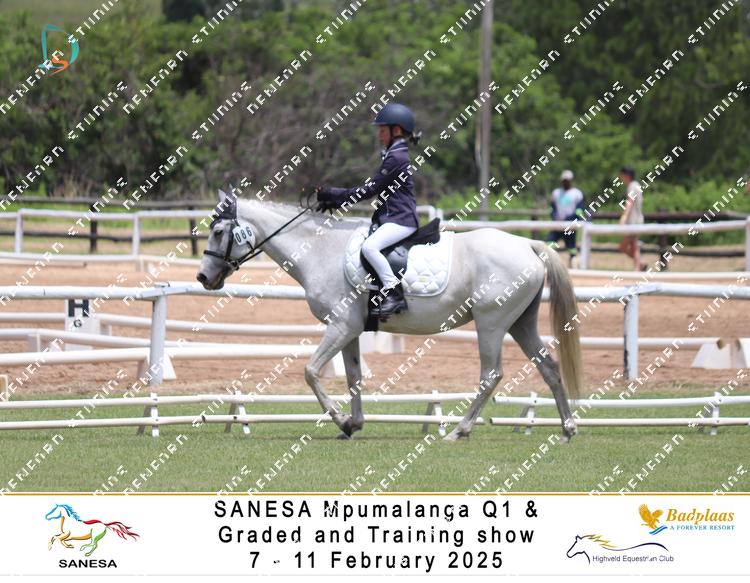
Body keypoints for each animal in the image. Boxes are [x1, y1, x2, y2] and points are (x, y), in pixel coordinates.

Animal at [196, 190, 583, 442]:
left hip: (491, 324)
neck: (320, 249)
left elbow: (310, 372)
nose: (203, 278)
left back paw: (459, 431)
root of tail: (527, 244)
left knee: (491, 375)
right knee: (549, 367)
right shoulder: (351, 330)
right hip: (520, 322)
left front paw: (340, 421)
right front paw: (353, 424)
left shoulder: (340, 326)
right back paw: (567, 430)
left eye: (218, 231)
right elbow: (353, 378)